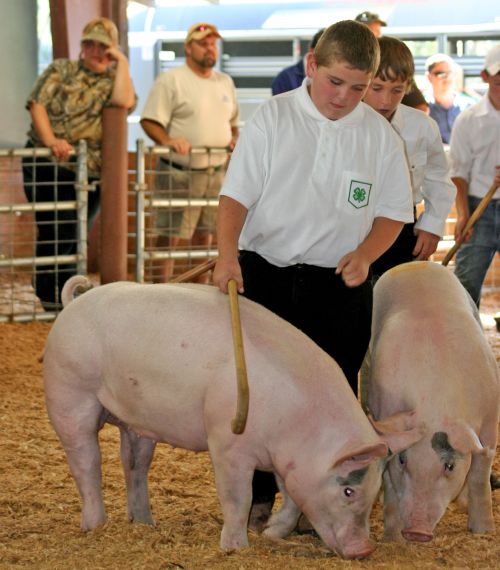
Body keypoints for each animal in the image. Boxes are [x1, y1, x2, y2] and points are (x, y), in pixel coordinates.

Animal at [45, 276, 424, 556]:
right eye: (348, 491)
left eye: (376, 490)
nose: (364, 550)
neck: (299, 425)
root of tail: (73, 304)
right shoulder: (227, 444)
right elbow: (238, 497)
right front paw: (235, 548)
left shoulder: (287, 460)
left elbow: (291, 497)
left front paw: (272, 533)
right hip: (69, 392)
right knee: (85, 461)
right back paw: (95, 525)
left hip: (137, 421)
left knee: (134, 463)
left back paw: (144, 523)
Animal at [366, 260, 498, 540]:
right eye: (403, 460)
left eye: (449, 466)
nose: (416, 532)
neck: (433, 401)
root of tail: (414, 264)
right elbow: (391, 485)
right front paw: (391, 539)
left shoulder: (491, 420)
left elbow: (480, 474)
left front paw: (483, 531)